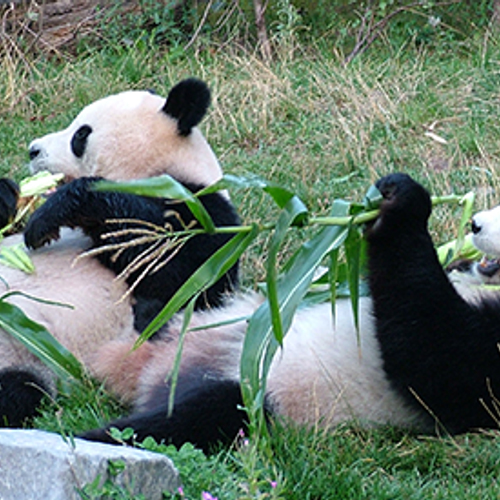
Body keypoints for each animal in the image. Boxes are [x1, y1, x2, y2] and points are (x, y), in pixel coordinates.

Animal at [0, 77, 239, 426]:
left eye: (80, 134)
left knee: (16, 390)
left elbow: (179, 271)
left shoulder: (206, 216)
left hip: (27, 354)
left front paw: (55, 211)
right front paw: (8, 196)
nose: (33, 149)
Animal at [79, 172, 500, 454]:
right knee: (184, 278)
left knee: (184, 420)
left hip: (260, 394)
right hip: (200, 319)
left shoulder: (479, 372)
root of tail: (149, 370)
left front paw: (403, 205)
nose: (475, 224)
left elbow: (431, 352)